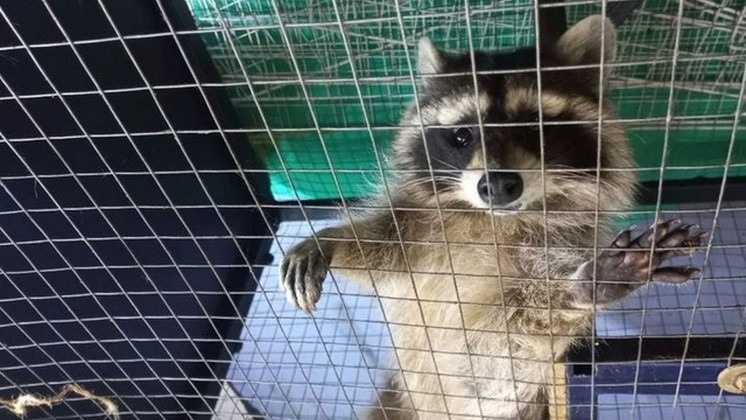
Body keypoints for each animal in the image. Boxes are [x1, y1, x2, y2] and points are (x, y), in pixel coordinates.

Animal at [280, 15, 706, 420]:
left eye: (534, 129)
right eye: (463, 135)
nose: (499, 185)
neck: (493, 219)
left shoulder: (558, 244)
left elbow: (509, 342)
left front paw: (584, 286)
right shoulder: (422, 229)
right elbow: (384, 249)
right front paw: (331, 239)